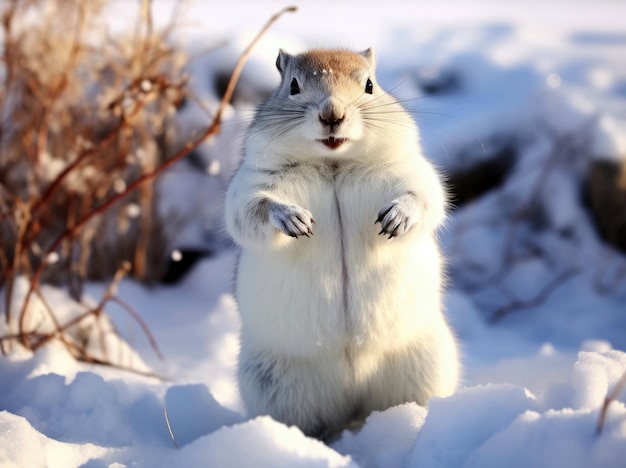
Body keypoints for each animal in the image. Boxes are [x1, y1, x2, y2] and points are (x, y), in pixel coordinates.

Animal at [224, 48, 458, 438]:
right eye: (292, 85)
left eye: (370, 85)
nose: (332, 114)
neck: (333, 164)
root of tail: (352, 396)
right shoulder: (249, 186)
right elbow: (253, 210)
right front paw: (292, 218)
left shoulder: (412, 172)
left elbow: (425, 198)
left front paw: (399, 217)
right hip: (275, 386)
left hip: (425, 366)